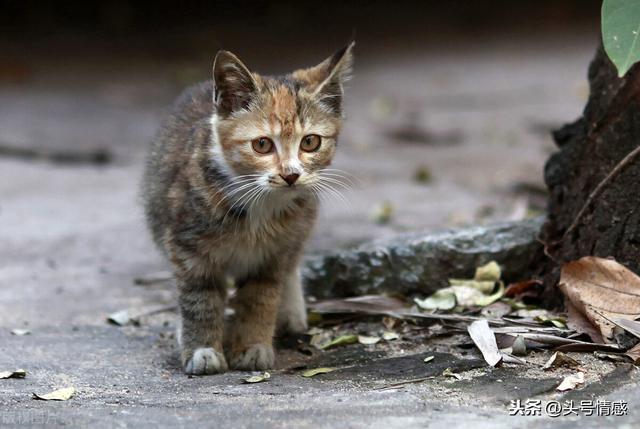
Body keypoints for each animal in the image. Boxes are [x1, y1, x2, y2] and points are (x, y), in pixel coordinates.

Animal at [141, 41, 356, 372]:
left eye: (310, 142)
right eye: (262, 145)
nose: (291, 175)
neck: (259, 204)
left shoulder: (273, 253)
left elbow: (261, 297)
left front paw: (253, 345)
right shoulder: (186, 245)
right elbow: (197, 297)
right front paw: (202, 349)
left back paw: (291, 312)